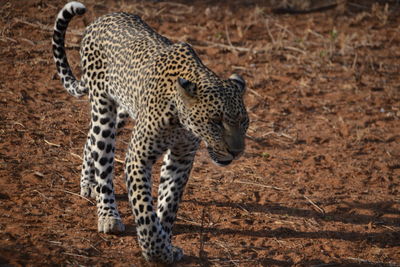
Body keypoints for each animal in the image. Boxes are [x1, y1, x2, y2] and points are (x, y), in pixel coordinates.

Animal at [51, 1, 248, 264]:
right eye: (215, 121)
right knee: (102, 156)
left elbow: (168, 202)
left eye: (244, 122)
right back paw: (107, 214)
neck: (181, 119)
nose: (236, 152)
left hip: (124, 109)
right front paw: (155, 251)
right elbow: (144, 206)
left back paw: (88, 182)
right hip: (104, 108)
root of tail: (100, 19)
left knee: (90, 139)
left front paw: (165, 243)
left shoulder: (181, 158)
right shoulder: (138, 157)